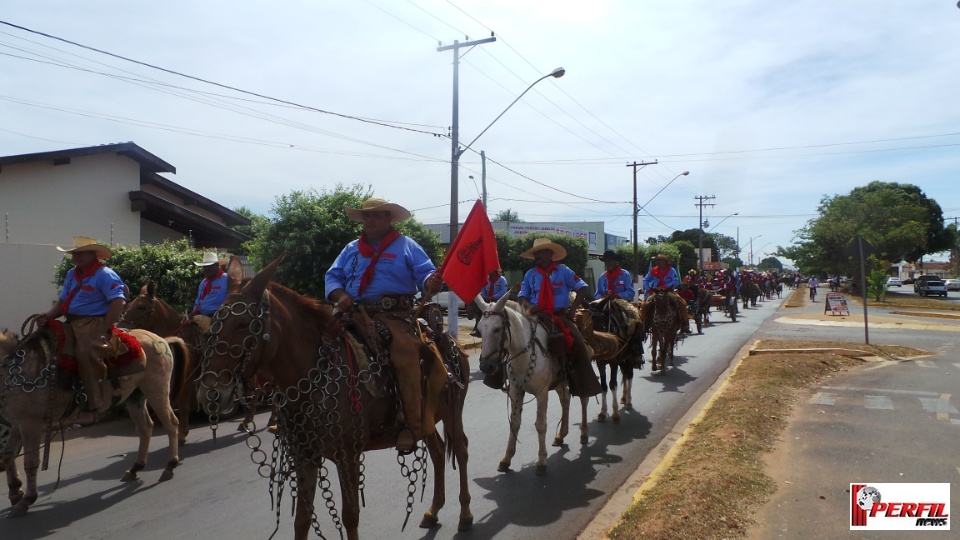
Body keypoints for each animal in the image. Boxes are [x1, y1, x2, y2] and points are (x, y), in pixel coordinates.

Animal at [1, 320, 188, 516]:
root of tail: (160, 339)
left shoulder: (31, 424)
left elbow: (31, 462)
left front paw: (27, 499)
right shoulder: (18, 423)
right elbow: (8, 453)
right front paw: (15, 491)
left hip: (156, 389)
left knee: (170, 423)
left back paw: (170, 465)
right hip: (134, 396)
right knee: (145, 427)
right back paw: (135, 468)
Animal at [202, 256, 472, 540]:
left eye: (244, 324)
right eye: (214, 323)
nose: (211, 392)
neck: (314, 376)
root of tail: (450, 341)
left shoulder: (348, 455)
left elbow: (350, 516)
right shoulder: (305, 455)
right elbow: (302, 518)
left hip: (453, 411)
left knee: (461, 449)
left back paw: (465, 514)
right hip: (425, 417)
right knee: (438, 451)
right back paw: (433, 511)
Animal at [470, 294, 584, 474]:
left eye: (497, 329)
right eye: (480, 330)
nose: (485, 366)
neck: (524, 353)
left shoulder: (542, 393)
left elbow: (541, 425)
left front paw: (542, 462)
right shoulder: (516, 390)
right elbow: (515, 422)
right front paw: (507, 458)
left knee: (584, 399)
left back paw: (584, 434)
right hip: (559, 381)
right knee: (565, 399)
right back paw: (561, 435)